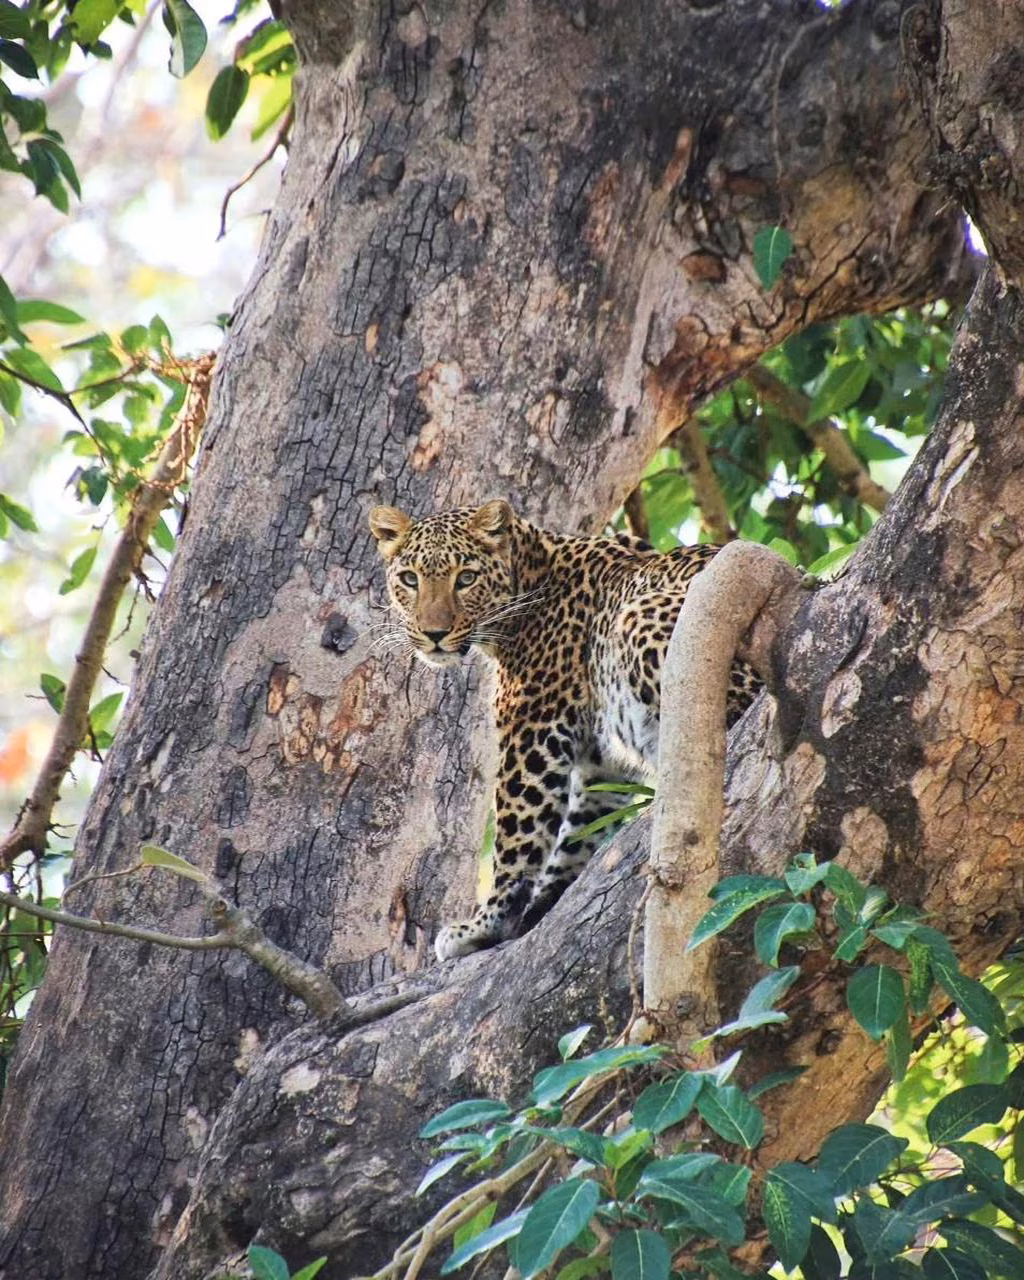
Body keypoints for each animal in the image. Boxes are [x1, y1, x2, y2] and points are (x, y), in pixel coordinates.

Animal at [368, 498, 761, 961]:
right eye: (409, 580)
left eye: (465, 578)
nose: (434, 634)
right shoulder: (601, 761)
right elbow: (578, 834)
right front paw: (541, 903)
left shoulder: (532, 730)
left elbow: (517, 836)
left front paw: (484, 925)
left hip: (646, 621)